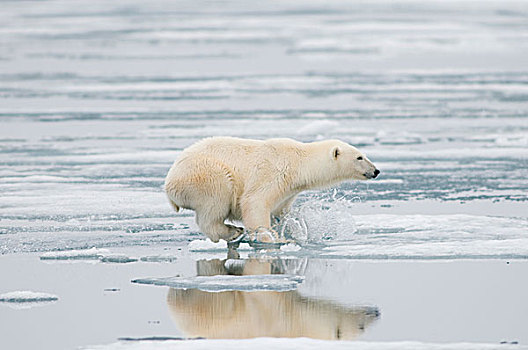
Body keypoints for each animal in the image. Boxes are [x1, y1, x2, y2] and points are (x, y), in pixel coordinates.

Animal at [165, 137, 380, 243]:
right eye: (360, 157)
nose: (376, 171)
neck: (299, 161)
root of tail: (169, 185)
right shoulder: (274, 171)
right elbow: (254, 201)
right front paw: (269, 236)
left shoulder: (288, 189)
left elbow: (280, 211)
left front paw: (292, 230)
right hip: (206, 176)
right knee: (214, 205)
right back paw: (232, 231)